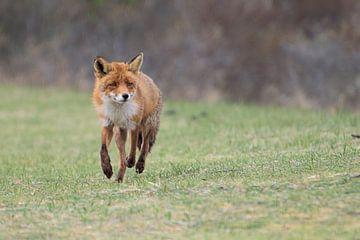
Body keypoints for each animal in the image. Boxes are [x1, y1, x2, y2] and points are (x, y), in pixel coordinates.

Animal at [92, 53, 162, 182]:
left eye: (129, 84)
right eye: (113, 84)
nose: (125, 96)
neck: (118, 111)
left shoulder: (134, 124)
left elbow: (133, 147)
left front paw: (131, 161)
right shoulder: (108, 124)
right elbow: (103, 148)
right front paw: (107, 168)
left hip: (148, 124)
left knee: (145, 145)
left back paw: (139, 164)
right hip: (119, 133)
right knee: (122, 154)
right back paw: (119, 177)